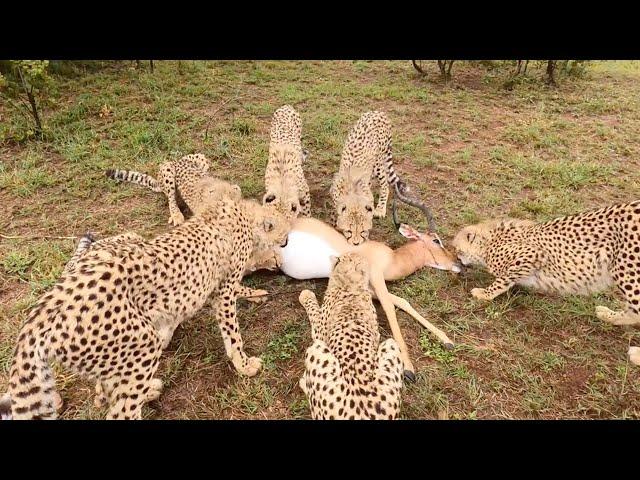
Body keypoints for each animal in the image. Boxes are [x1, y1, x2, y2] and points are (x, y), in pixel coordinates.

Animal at [1, 197, 290, 418]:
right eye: (285, 233)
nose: (286, 243)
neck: (244, 215)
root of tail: (44, 311)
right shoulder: (223, 291)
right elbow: (233, 332)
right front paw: (244, 364)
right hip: (141, 343)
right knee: (121, 409)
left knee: (106, 391)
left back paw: (149, 388)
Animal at [298, 253, 402, 418]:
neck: (351, 284)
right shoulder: (376, 332)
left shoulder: (320, 334)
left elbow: (314, 312)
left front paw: (306, 295)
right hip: (391, 343)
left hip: (316, 349)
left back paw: (303, 381)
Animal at [450, 202, 640, 364]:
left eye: (457, 250)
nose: (458, 262)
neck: (489, 241)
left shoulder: (532, 255)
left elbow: (503, 279)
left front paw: (485, 294)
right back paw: (608, 315)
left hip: (627, 271)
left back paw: (636, 354)